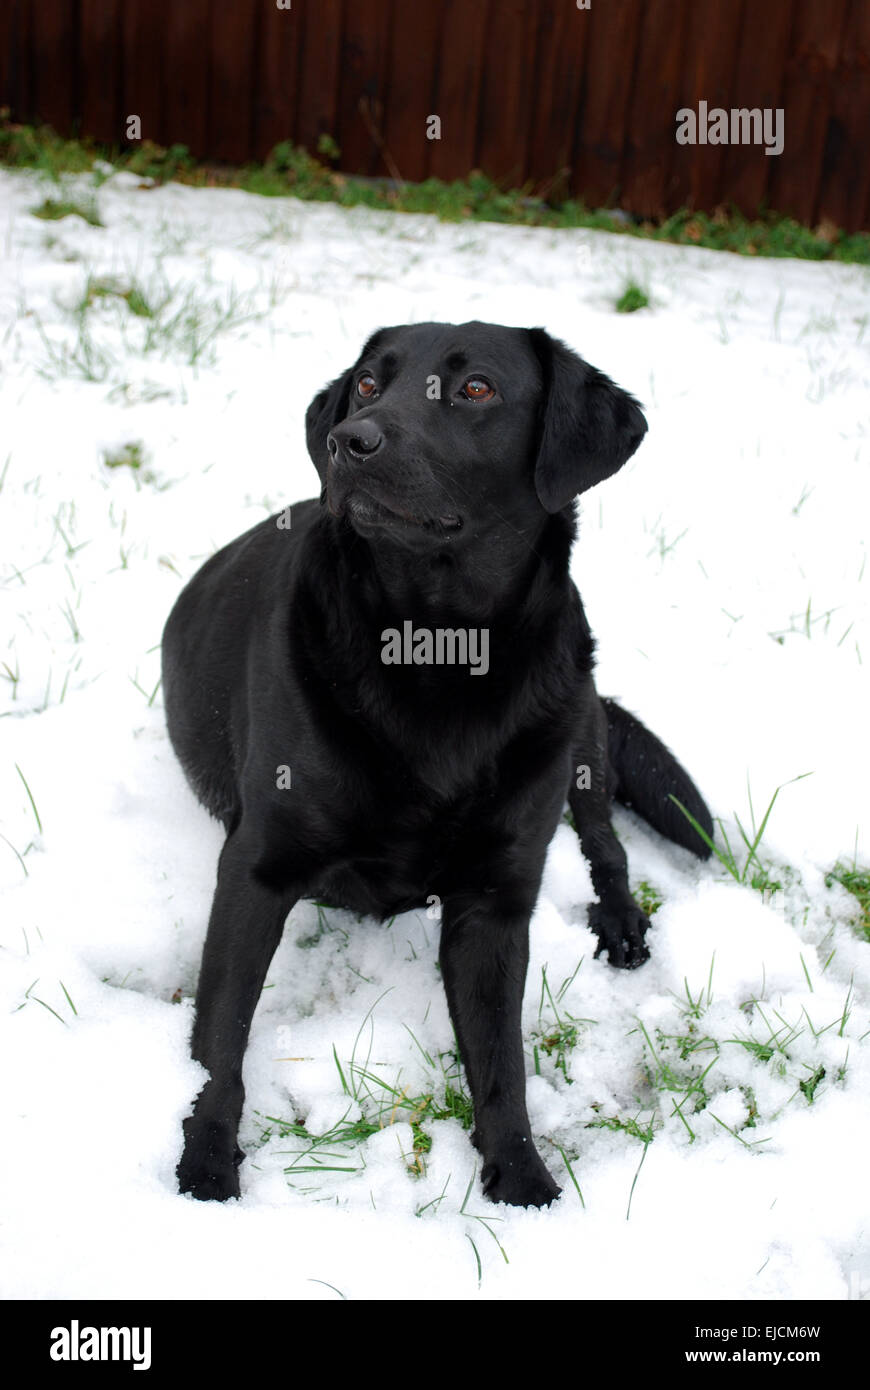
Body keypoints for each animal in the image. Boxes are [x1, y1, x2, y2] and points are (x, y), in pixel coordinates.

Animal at [163, 322, 711, 1206]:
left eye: (477, 388)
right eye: (365, 384)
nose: (350, 442)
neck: (438, 650)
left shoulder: (495, 901)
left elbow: (501, 1060)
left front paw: (523, 1184)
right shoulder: (256, 868)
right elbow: (220, 1038)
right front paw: (206, 1168)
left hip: (581, 726)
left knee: (606, 840)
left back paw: (623, 922)